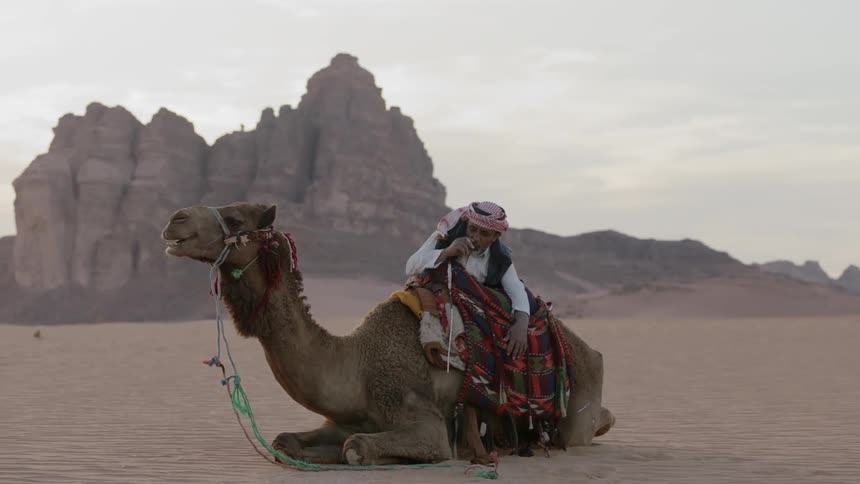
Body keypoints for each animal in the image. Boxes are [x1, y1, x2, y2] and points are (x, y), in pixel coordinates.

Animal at [161, 202, 614, 465]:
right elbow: (286, 441)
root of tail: (592, 351)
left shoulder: (423, 419)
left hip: (577, 406)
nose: (174, 221)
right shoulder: (345, 415)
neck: (356, 364)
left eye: (235, 218)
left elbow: (358, 447)